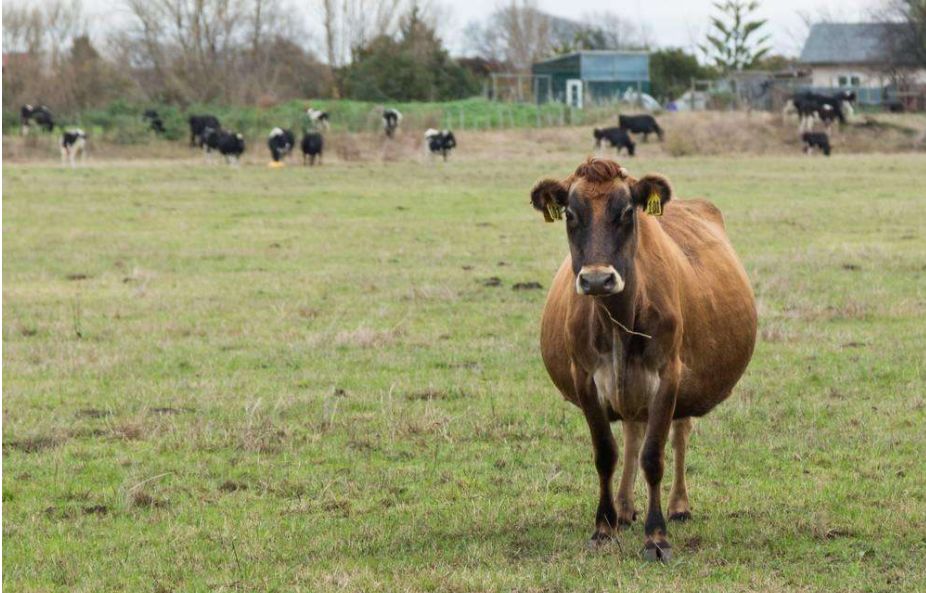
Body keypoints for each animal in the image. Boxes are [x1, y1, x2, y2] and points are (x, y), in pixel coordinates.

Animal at [532, 156, 756, 560]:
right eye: (570, 213)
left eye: (626, 212)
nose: (597, 280)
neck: (618, 319)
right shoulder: (585, 378)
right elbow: (606, 452)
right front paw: (604, 527)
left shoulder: (668, 375)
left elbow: (654, 456)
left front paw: (656, 536)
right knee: (633, 432)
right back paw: (623, 509)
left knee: (678, 433)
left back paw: (679, 505)